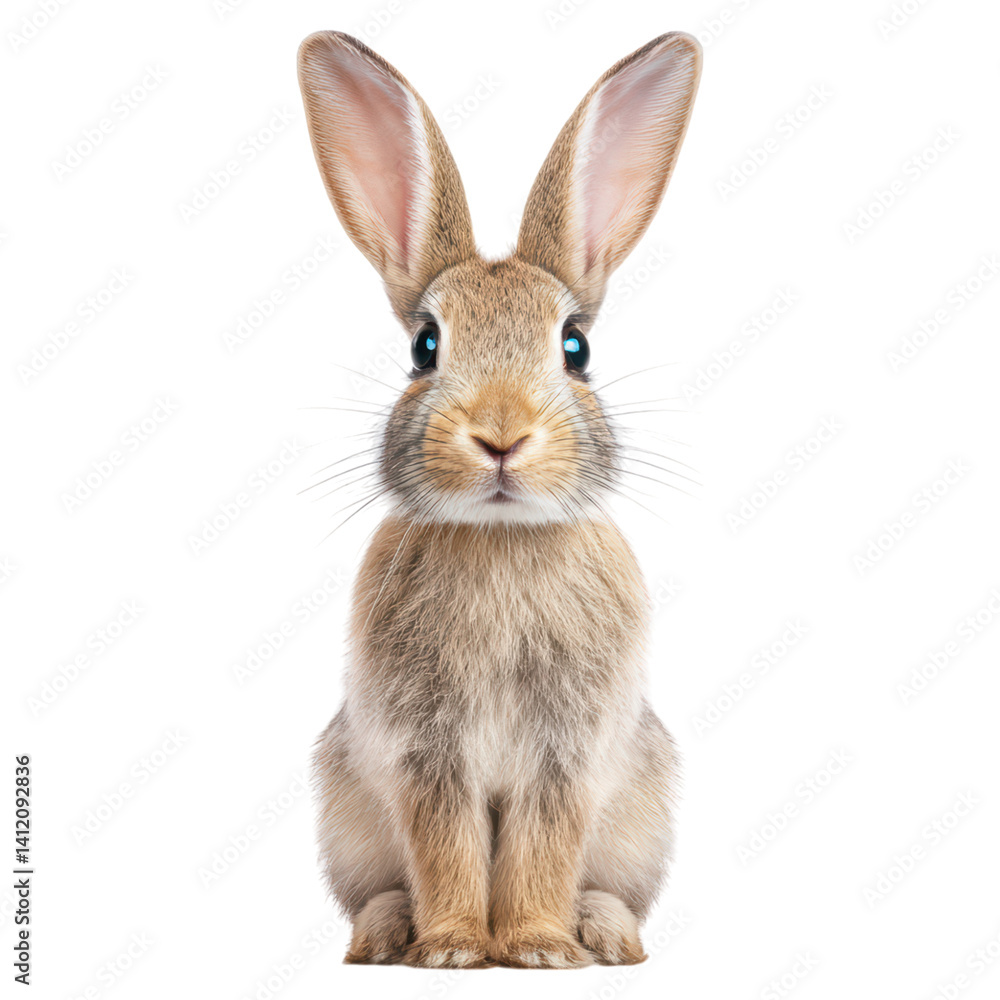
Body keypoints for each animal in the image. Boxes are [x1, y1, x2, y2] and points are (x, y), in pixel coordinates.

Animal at [297, 29, 701, 969]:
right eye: (425, 345)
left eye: (576, 346)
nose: (502, 434)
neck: (500, 537)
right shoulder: (425, 753)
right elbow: (445, 848)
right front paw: (450, 948)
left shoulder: (566, 757)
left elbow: (543, 849)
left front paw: (539, 948)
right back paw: (384, 934)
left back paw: (606, 933)